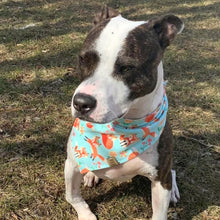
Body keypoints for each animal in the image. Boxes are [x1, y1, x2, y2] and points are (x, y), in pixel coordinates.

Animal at [64, 6, 183, 220]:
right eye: (83, 59)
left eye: (127, 68)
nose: (81, 103)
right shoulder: (71, 165)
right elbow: (72, 196)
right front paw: (85, 214)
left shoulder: (160, 180)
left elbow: (160, 212)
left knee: (173, 172)